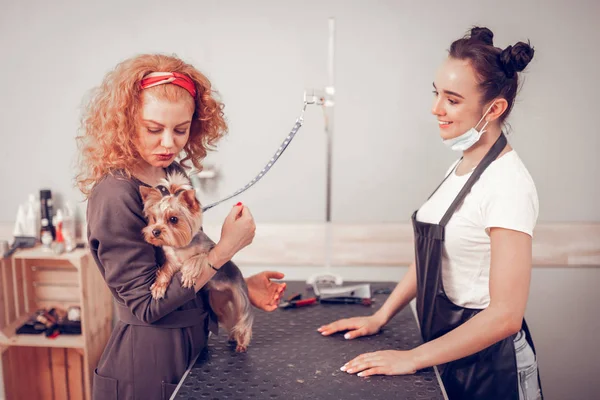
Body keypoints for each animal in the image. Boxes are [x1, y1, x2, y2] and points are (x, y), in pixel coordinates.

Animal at [140, 173, 253, 352]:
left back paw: (242, 342)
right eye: (153, 218)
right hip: (219, 301)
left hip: (240, 296)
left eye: (173, 219)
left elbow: (197, 258)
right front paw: (159, 286)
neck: (181, 247)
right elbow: (166, 269)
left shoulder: (208, 249)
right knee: (229, 319)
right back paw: (232, 336)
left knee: (244, 319)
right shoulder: (172, 260)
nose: (155, 231)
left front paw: (188, 274)